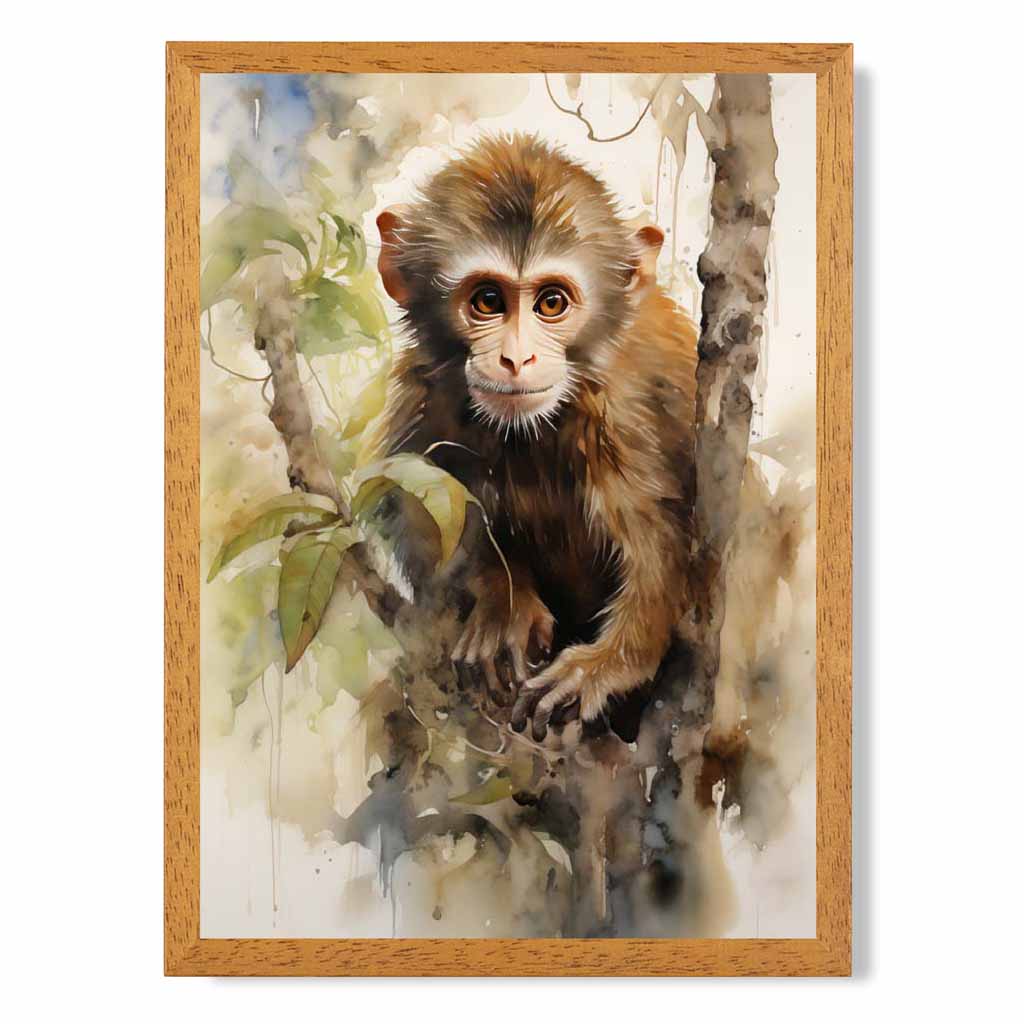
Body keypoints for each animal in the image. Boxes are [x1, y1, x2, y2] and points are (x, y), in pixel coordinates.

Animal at [373, 133, 699, 741]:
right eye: (488, 301)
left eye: (551, 302)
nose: (516, 358)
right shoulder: (429, 402)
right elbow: (422, 521)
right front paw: (503, 602)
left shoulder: (626, 418)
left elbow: (666, 553)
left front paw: (607, 665)